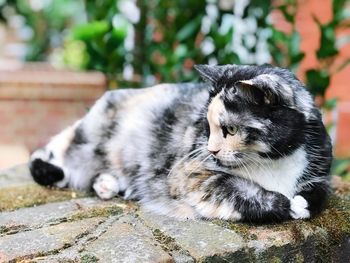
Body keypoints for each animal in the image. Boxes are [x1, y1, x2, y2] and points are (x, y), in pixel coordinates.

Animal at [28, 64, 332, 223]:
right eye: (206, 126)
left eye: (231, 129)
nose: (211, 149)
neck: (273, 163)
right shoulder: (190, 173)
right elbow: (238, 189)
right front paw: (286, 205)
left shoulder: (321, 172)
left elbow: (318, 193)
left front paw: (302, 203)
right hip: (87, 137)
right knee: (50, 155)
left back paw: (111, 185)